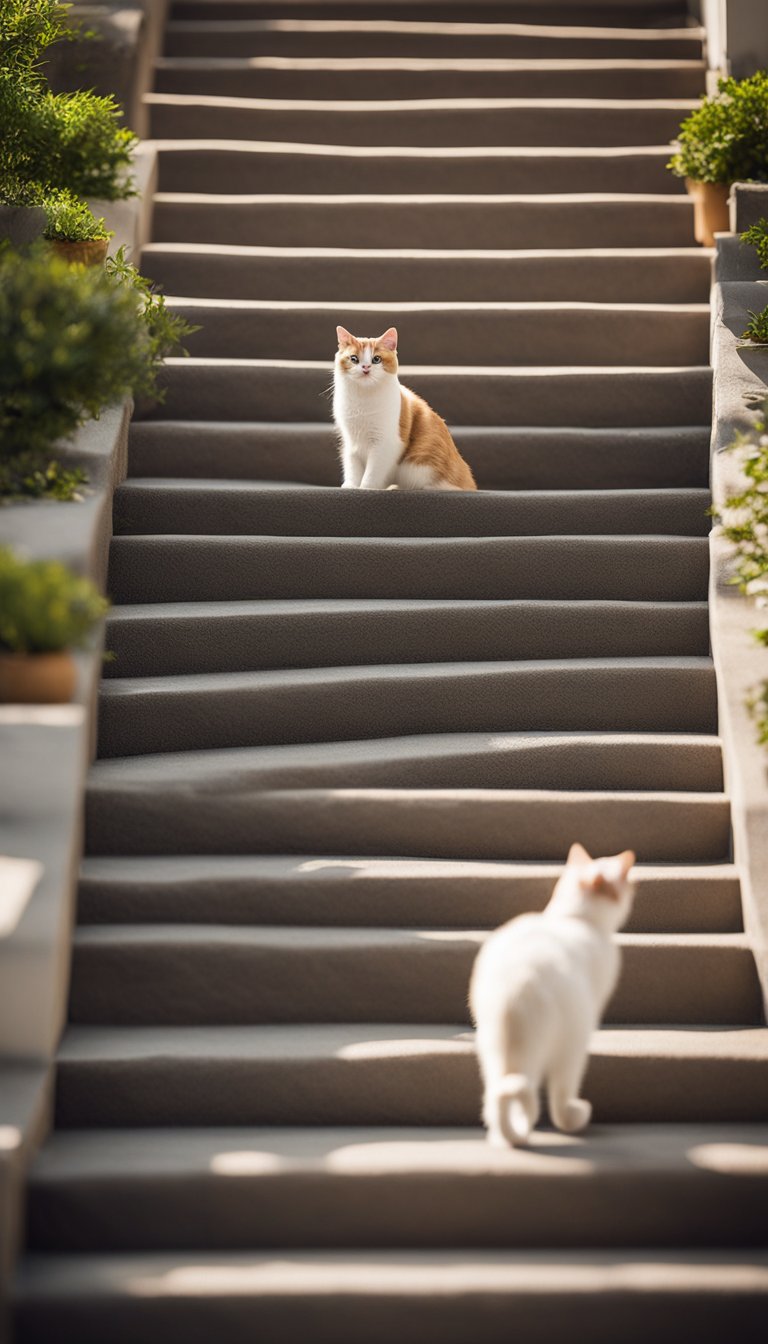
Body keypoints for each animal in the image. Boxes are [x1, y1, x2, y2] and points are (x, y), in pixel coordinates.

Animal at [333, 322, 478, 491]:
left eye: (376, 359)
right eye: (354, 359)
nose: (366, 367)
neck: (362, 399)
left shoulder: (385, 443)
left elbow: (373, 471)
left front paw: (366, 488)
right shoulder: (350, 442)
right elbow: (352, 466)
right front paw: (351, 486)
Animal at [468, 838, 637, 1145]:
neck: (574, 917)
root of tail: (515, 995)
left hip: (489, 1052)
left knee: (495, 1103)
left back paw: (503, 1139)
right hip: (571, 1043)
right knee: (559, 1093)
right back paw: (574, 1117)